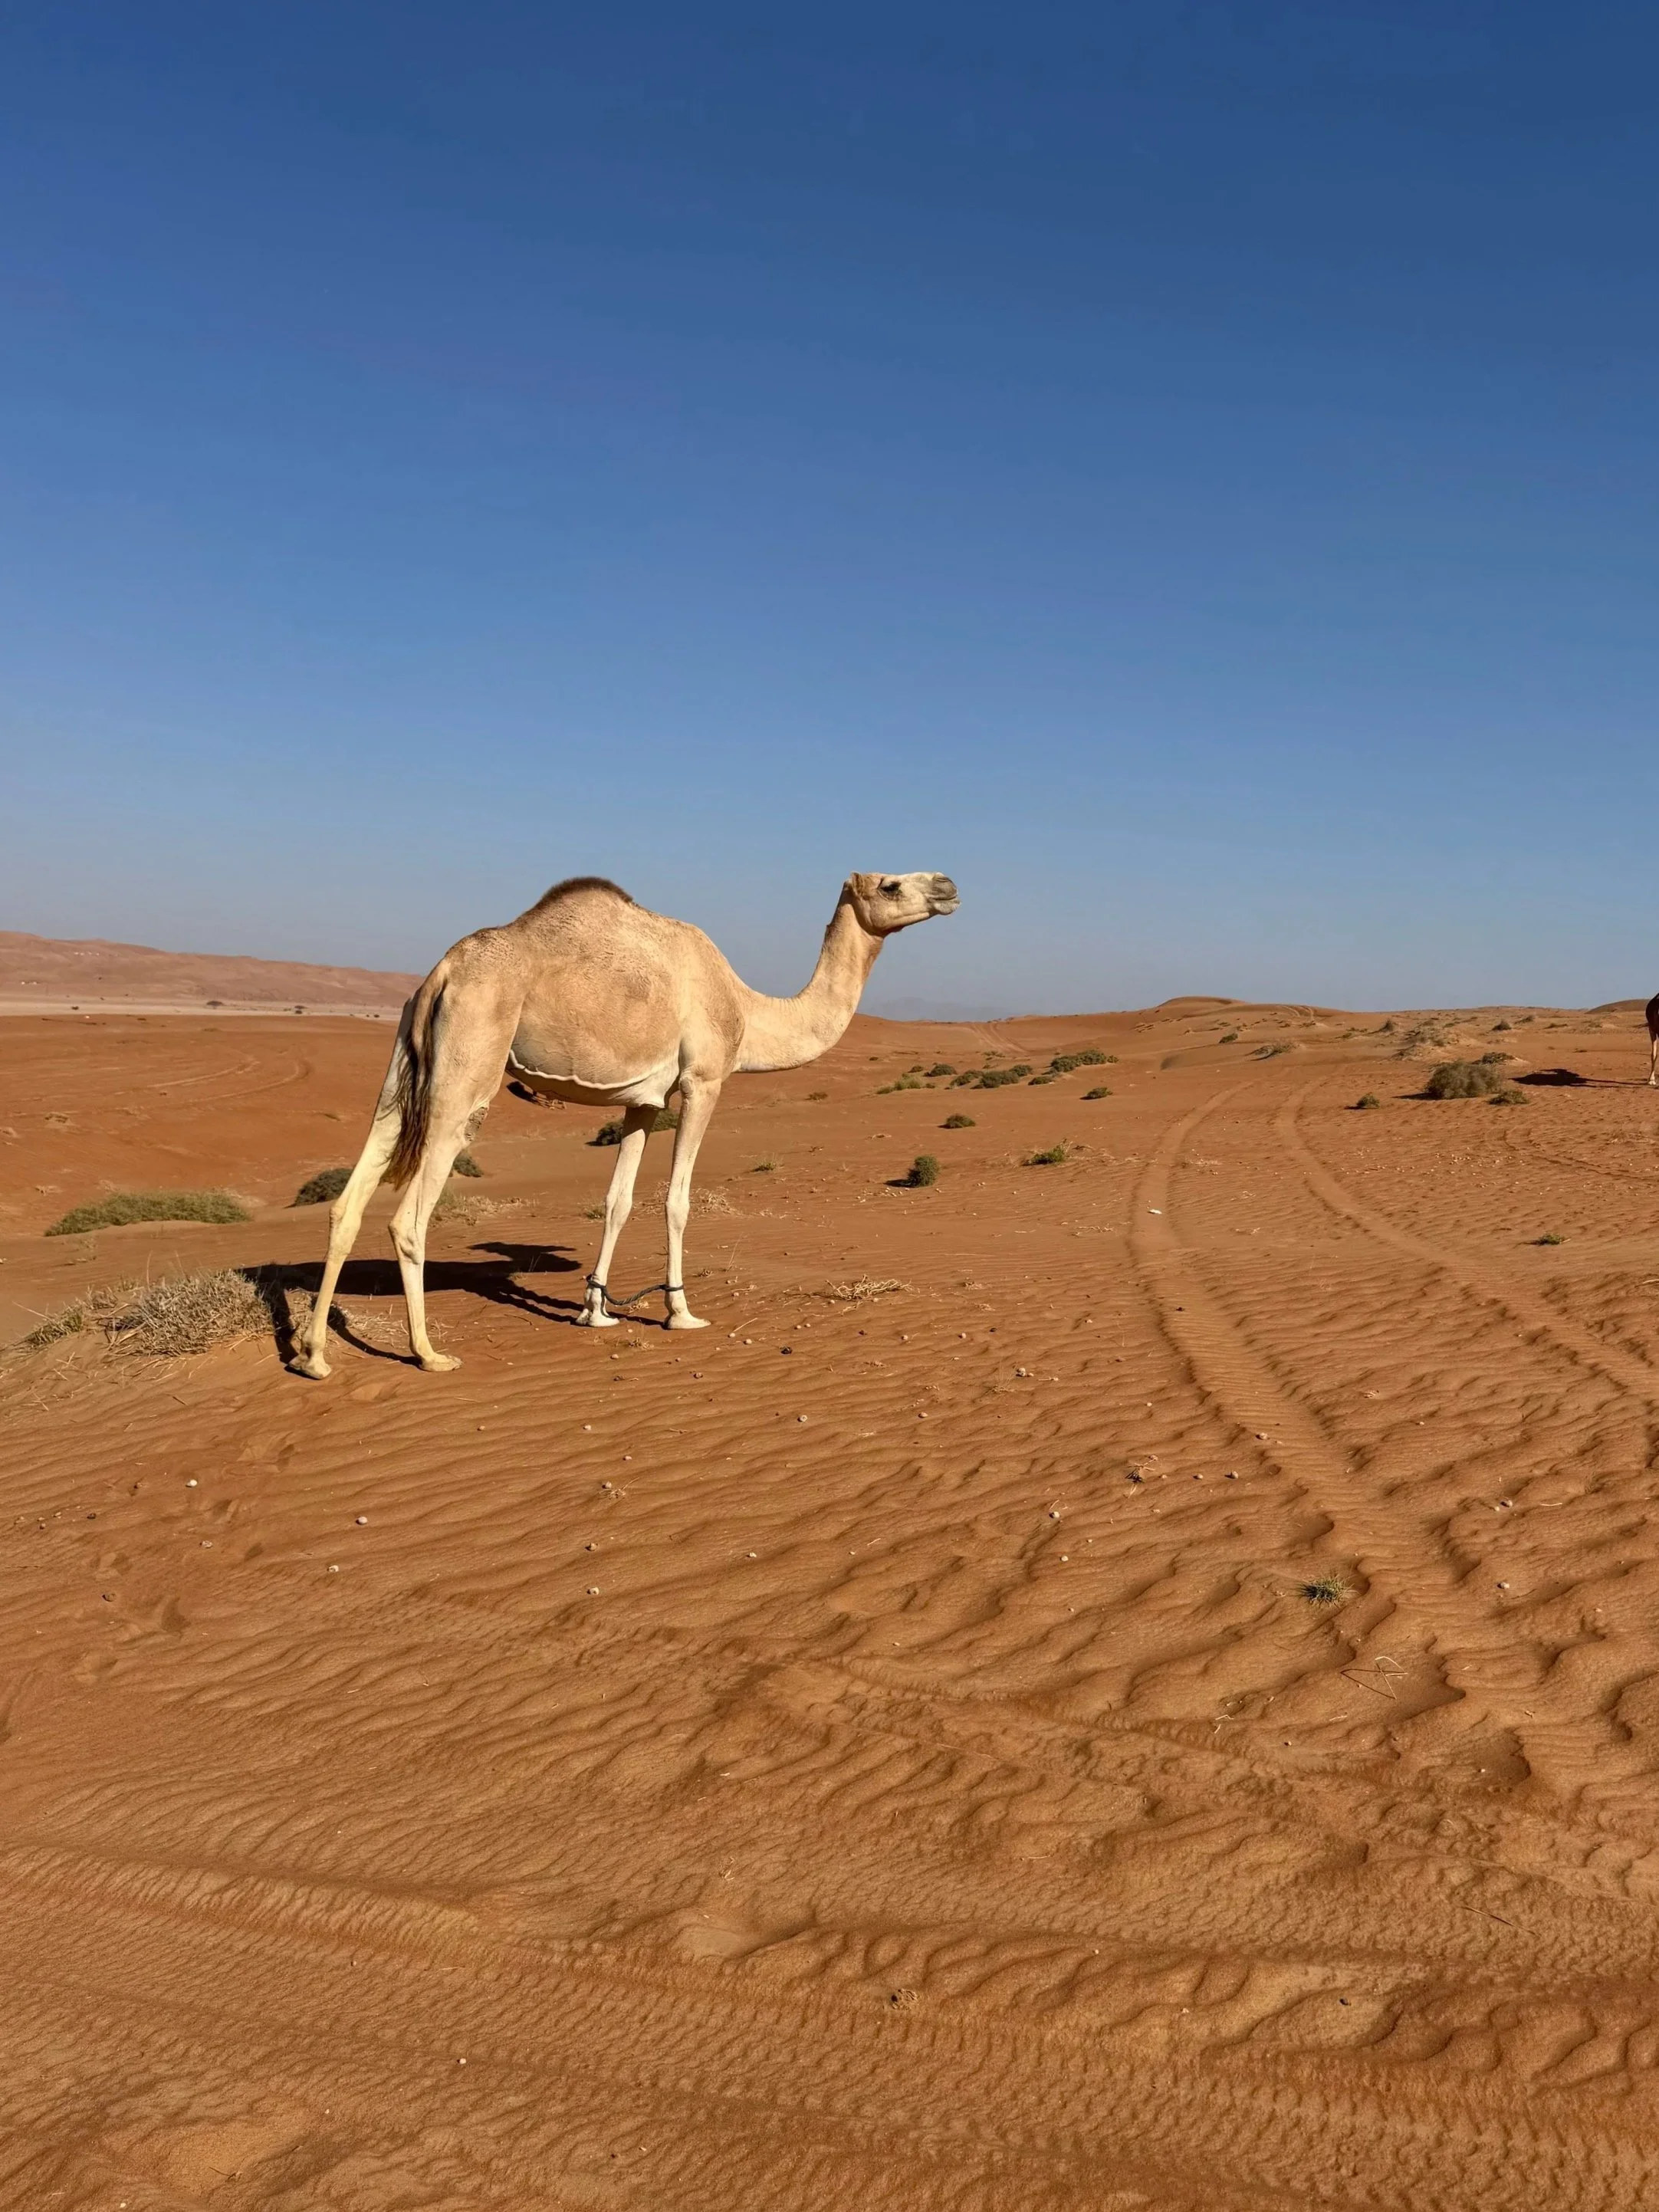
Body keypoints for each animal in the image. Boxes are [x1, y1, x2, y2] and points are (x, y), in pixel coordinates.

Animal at [293, 870, 959, 1377]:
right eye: (892, 883)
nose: (948, 885)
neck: (747, 1010)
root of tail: (443, 973)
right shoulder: (702, 1082)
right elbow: (676, 1199)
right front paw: (680, 1312)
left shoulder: (644, 1101)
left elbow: (618, 1199)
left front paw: (596, 1308)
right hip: (470, 1064)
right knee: (410, 1214)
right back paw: (428, 1352)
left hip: (402, 1067)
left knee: (349, 1199)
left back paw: (314, 1355)